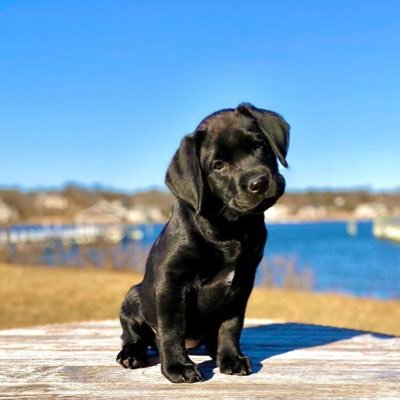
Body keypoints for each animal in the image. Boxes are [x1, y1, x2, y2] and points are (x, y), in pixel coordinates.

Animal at [117, 102, 290, 382]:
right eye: (218, 165)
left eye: (259, 145)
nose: (259, 182)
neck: (230, 227)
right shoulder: (171, 281)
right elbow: (172, 328)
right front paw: (177, 366)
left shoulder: (242, 282)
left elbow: (231, 325)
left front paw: (231, 358)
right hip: (132, 297)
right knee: (134, 335)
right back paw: (132, 354)